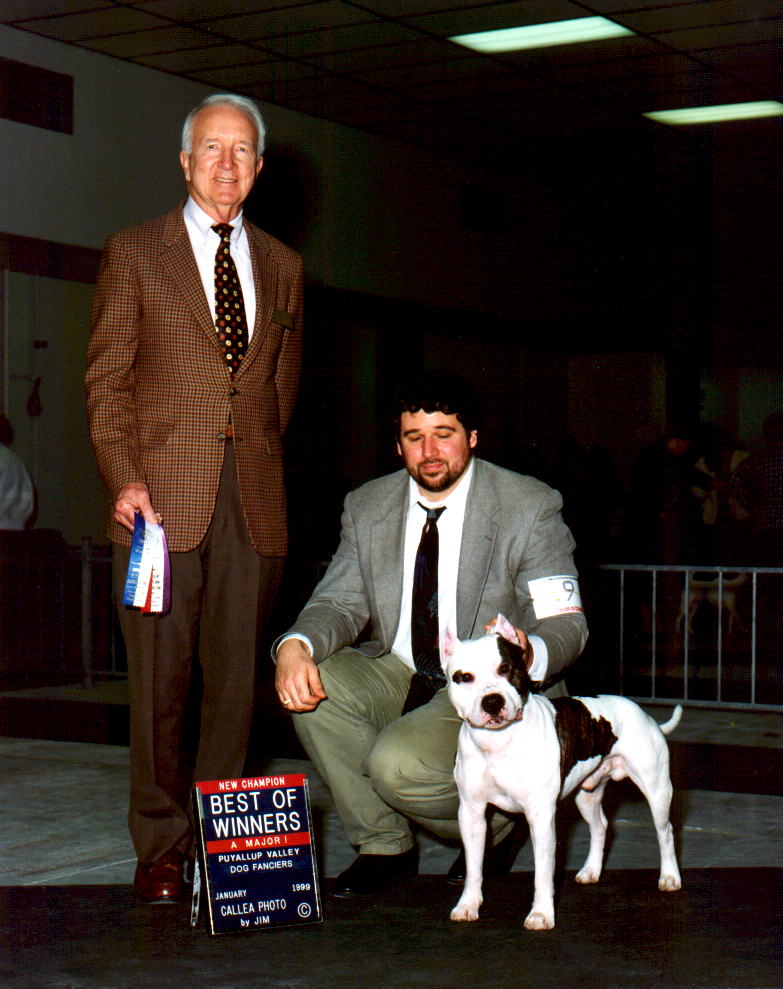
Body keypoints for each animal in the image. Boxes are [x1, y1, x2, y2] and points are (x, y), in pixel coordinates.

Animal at [444, 612, 684, 932]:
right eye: (465, 677)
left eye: (505, 669)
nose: (492, 701)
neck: (498, 742)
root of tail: (644, 714)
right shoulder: (471, 813)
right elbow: (474, 867)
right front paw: (468, 905)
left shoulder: (541, 817)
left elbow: (543, 873)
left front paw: (541, 914)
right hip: (587, 794)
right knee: (600, 826)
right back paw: (591, 871)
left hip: (657, 790)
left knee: (665, 831)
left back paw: (670, 877)